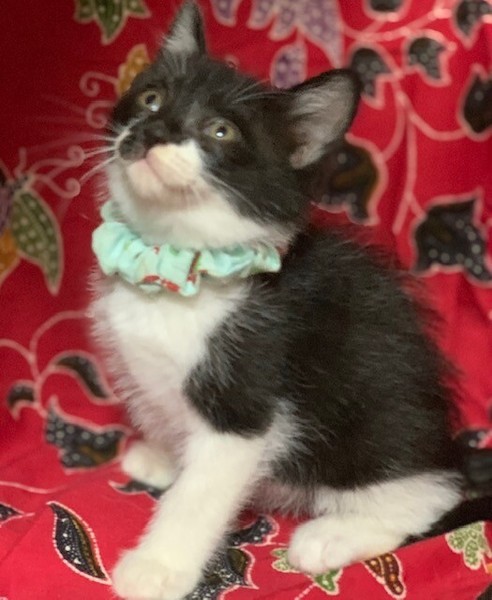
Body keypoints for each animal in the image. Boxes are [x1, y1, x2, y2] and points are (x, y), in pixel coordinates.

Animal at [90, 2, 464, 599]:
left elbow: (200, 494)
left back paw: (329, 536)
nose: (153, 131)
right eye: (150, 98)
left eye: (220, 131)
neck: (173, 258)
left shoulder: (248, 393)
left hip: (375, 428)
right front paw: (163, 456)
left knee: (434, 493)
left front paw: (159, 567)